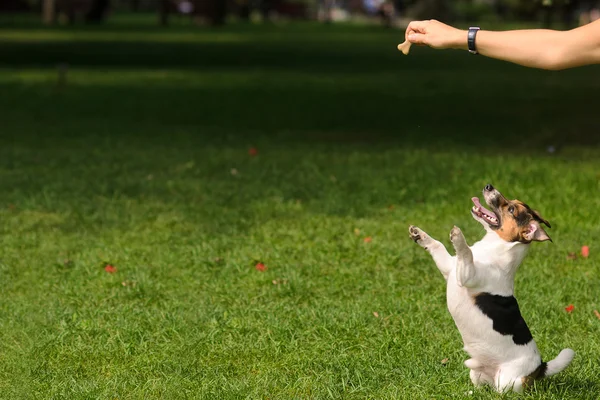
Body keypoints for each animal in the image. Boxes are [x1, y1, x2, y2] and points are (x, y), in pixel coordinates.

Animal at [410, 184, 576, 394]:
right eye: (513, 202)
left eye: (511, 209)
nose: (489, 186)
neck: (494, 247)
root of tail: (539, 368)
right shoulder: (450, 269)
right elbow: (437, 245)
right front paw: (419, 235)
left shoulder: (466, 274)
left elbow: (466, 251)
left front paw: (458, 236)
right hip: (476, 373)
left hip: (508, 381)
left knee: (501, 392)